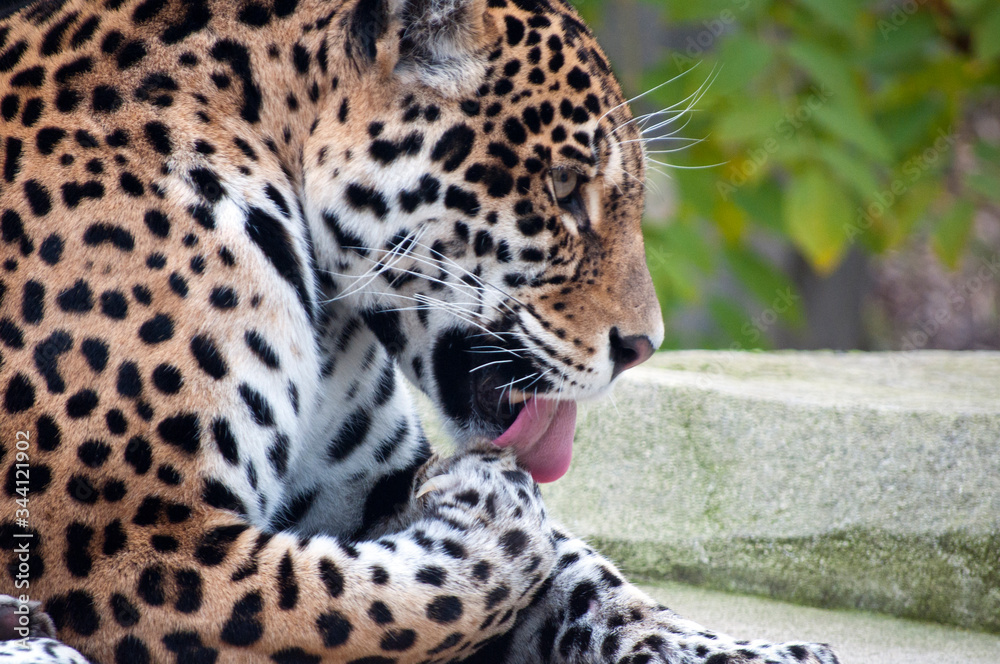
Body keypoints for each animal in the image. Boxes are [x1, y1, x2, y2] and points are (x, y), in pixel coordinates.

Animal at [0, 0, 842, 661]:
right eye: (564, 189)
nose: (643, 347)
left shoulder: (362, 483)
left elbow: (587, 577)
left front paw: (754, 650)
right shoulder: (130, 540)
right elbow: (381, 606)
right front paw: (496, 516)